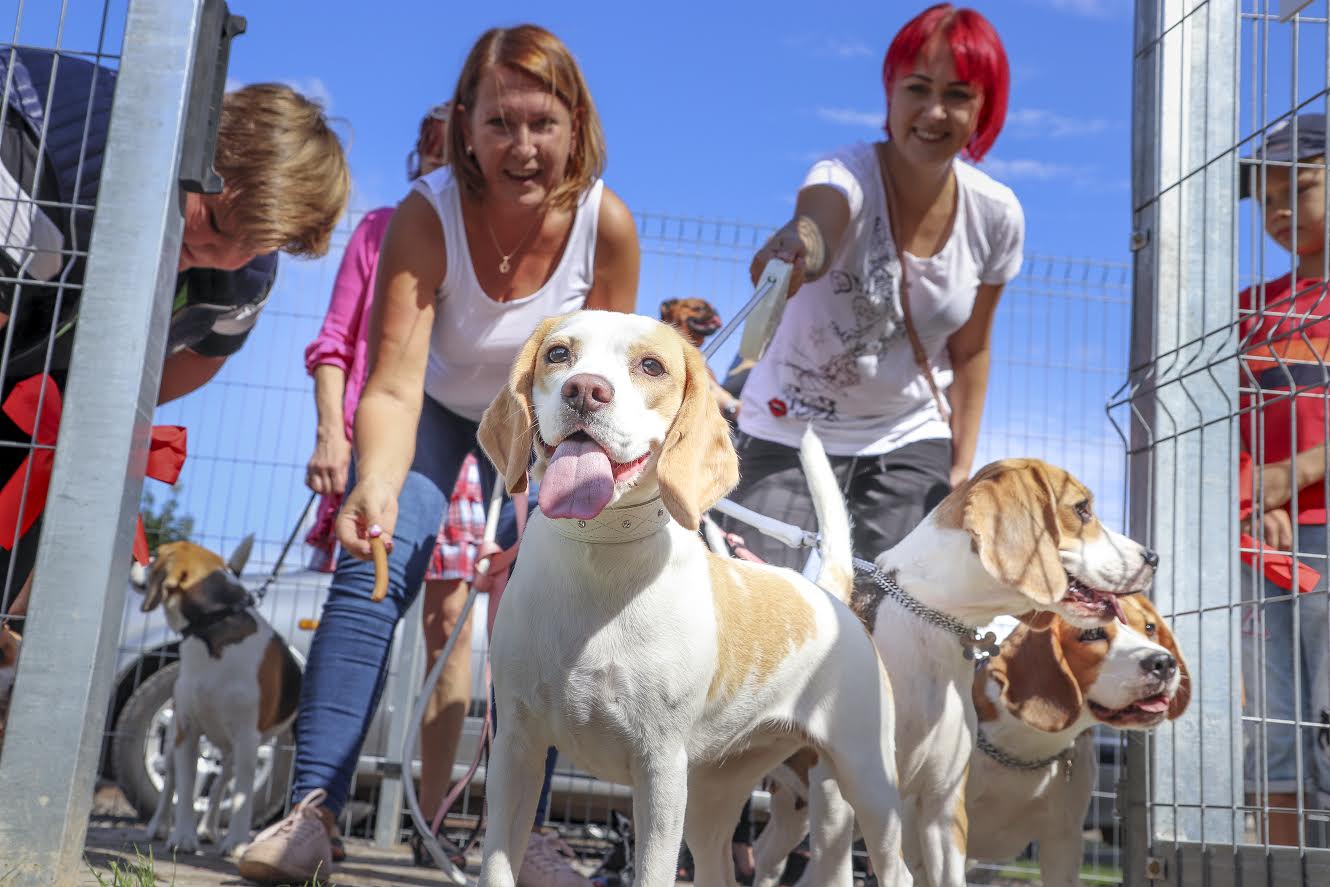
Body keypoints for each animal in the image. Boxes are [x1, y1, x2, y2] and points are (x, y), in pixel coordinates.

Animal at [134, 542, 301, 861]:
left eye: (158, 554)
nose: (137, 561)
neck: (214, 628)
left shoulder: (248, 740)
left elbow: (239, 798)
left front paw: (236, 843)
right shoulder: (187, 733)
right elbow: (185, 790)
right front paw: (182, 837)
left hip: (233, 752)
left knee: (219, 788)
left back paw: (209, 829)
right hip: (173, 737)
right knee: (170, 783)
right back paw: (159, 826)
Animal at [473, 311, 909, 887]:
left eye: (651, 366)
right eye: (559, 354)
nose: (584, 390)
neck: (599, 558)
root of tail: (827, 591)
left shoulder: (660, 771)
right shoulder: (515, 754)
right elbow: (497, 866)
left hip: (868, 784)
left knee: (899, 867)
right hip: (713, 799)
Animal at [755, 457, 1159, 887]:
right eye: (1082, 509)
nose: (1153, 558)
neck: (930, 626)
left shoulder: (943, 806)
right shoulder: (837, 801)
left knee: (768, 854)